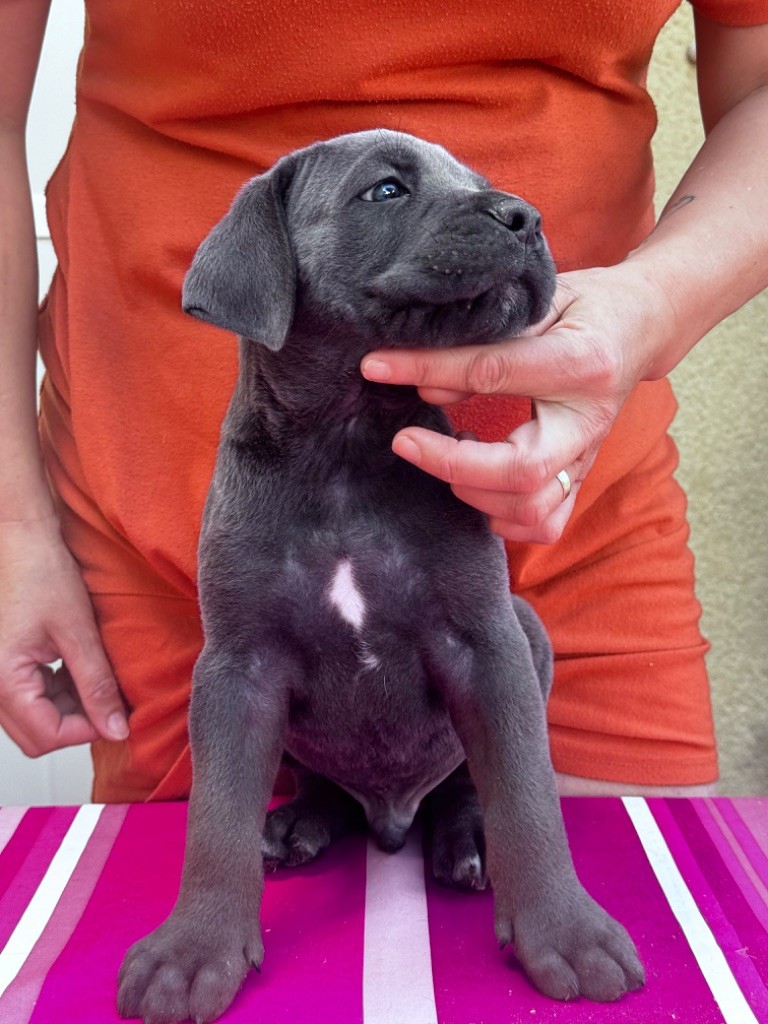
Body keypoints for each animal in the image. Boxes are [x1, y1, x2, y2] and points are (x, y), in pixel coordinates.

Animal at [117, 132, 647, 1024]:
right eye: (386, 190)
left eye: (477, 181)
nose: (524, 216)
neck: (347, 450)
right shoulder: (237, 670)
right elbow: (215, 818)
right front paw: (193, 953)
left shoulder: (486, 645)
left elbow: (526, 793)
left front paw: (566, 933)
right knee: (320, 785)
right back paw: (300, 823)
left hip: (527, 630)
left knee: (467, 786)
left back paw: (465, 840)